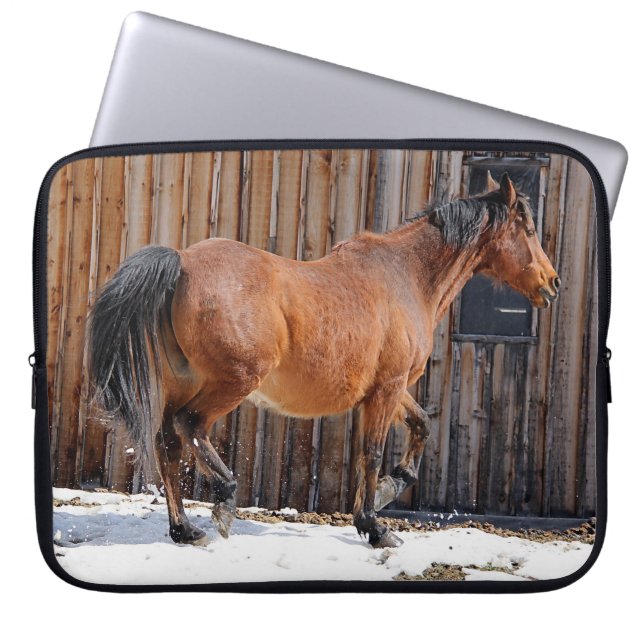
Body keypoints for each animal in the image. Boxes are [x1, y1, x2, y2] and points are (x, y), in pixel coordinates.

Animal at [87, 172, 559, 549]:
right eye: (528, 227)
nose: (552, 284)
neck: (406, 276)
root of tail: (182, 262)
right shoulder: (387, 389)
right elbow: (372, 452)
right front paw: (375, 526)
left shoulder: (387, 389)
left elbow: (421, 425)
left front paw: (391, 488)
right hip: (234, 381)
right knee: (190, 427)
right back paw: (224, 502)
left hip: (184, 384)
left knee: (166, 444)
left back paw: (185, 529)